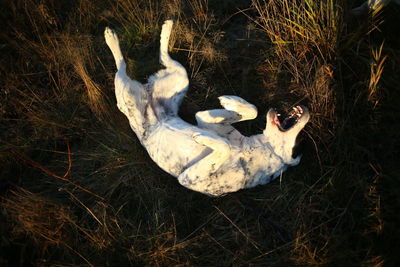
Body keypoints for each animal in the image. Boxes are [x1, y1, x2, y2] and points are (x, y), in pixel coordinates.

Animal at [103, 20, 310, 197]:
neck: (262, 148)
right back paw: (165, 28)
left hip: (128, 96)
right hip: (181, 77)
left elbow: (224, 145)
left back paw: (111, 36)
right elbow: (252, 110)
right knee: (161, 57)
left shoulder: (188, 178)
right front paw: (230, 101)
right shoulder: (204, 119)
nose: (307, 108)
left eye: (300, 140)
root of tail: (149, 96)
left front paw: (202, 137)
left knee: (122, 66)